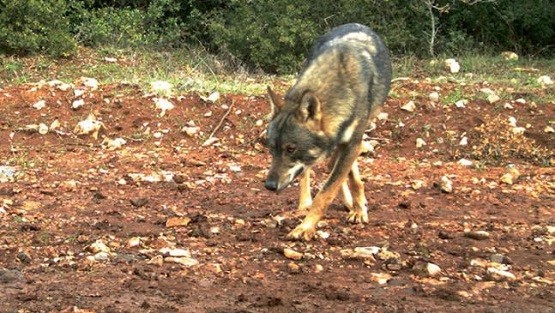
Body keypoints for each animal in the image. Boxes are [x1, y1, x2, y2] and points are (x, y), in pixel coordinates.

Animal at [264, 23, 390, 240]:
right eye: (272, 148)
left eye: (291, 149)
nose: (269, 186)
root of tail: (354, 23)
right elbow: (335, 180)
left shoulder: (353, 143)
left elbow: (328, 190)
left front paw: (307, 227)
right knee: (310, 172)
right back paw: (308, 203)